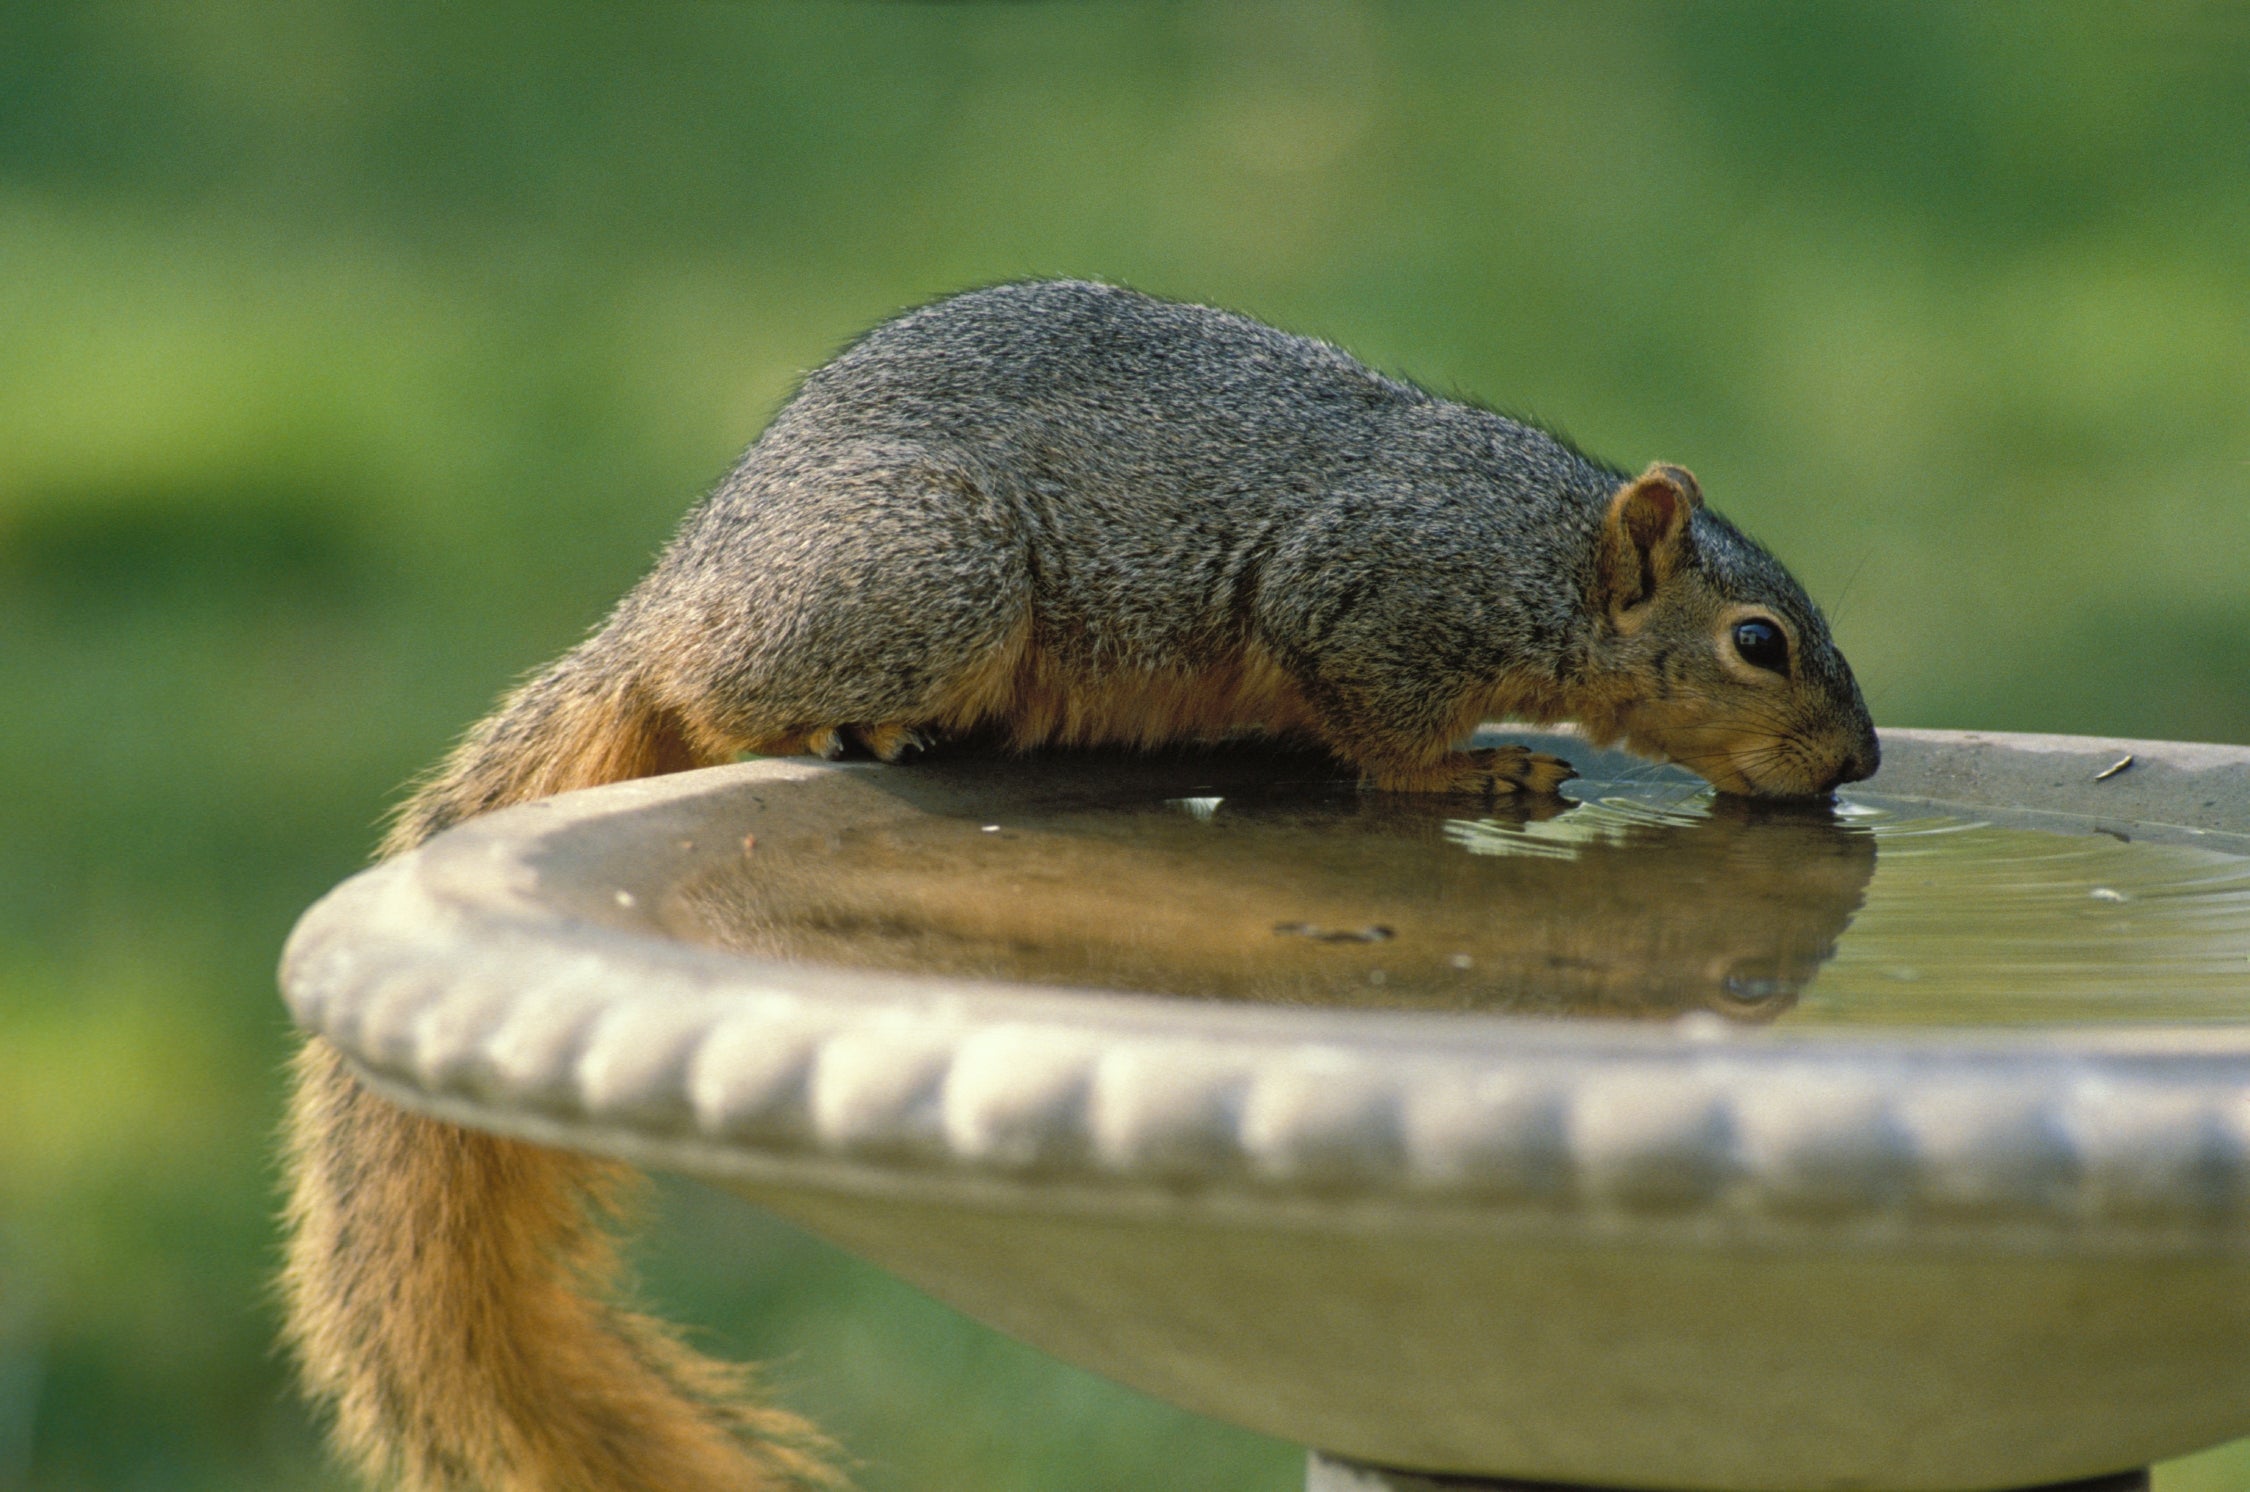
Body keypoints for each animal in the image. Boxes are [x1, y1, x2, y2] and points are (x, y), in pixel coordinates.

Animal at [290, 280, 1890, 1492]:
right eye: (1758, 644)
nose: (1861, 758)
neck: (1546, 556)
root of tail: (678, 592)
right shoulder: (1367, 598)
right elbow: (1375, 720)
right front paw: (1474, 775)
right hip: (924, 576)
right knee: (725, 695)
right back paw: (851, 728)